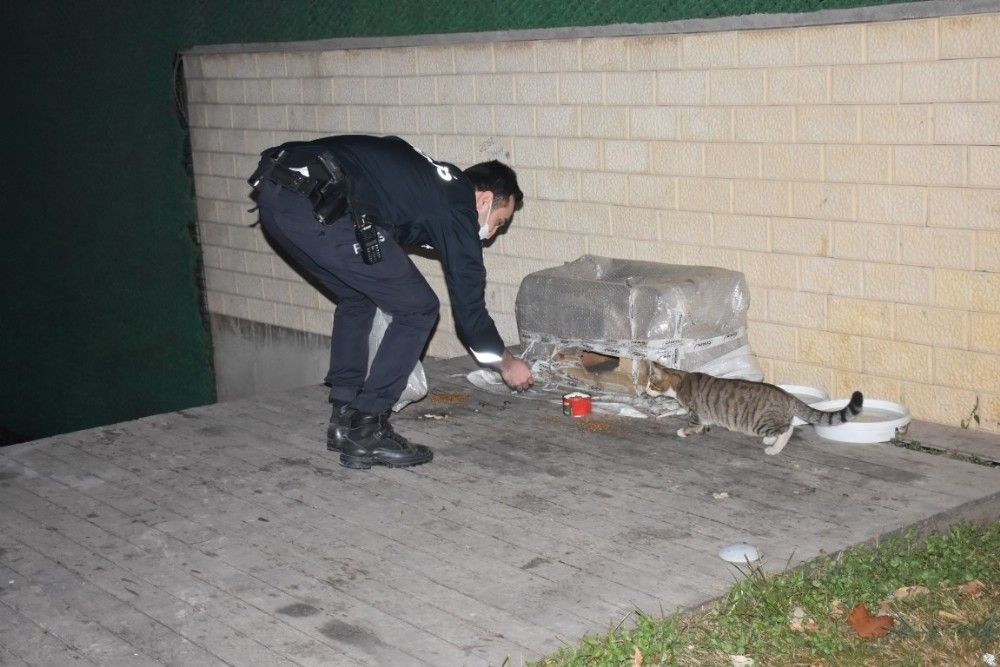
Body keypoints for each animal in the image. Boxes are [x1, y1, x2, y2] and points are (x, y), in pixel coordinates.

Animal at [641, 363, 863, 455]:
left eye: (651, 384)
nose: (644, 390)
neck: (681, 381)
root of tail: (788, 396)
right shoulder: (704, 417)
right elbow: (703, 425)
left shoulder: (695, 412)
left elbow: (691, 423)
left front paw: (682, 431)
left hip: (760, 423)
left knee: (787, 429)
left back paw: (774, 448)